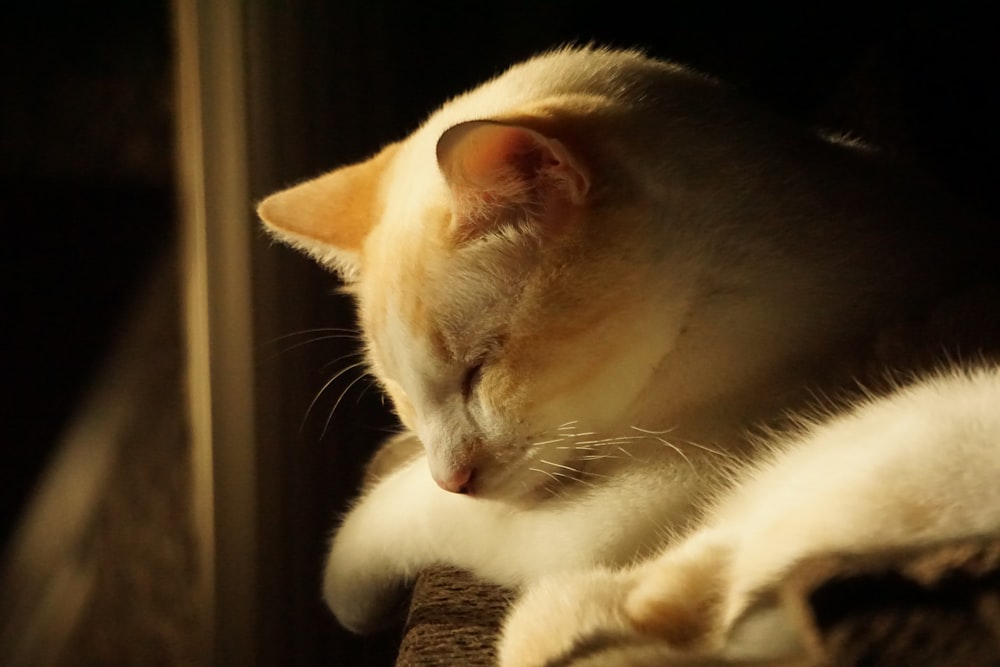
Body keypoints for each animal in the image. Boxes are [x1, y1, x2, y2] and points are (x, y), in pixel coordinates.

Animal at [254, 45, 988, 636]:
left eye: (480, 367)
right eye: (400, 395)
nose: (455, 477)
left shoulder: (603, 524)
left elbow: (407, 511)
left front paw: (349, 576)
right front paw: (396, 455)